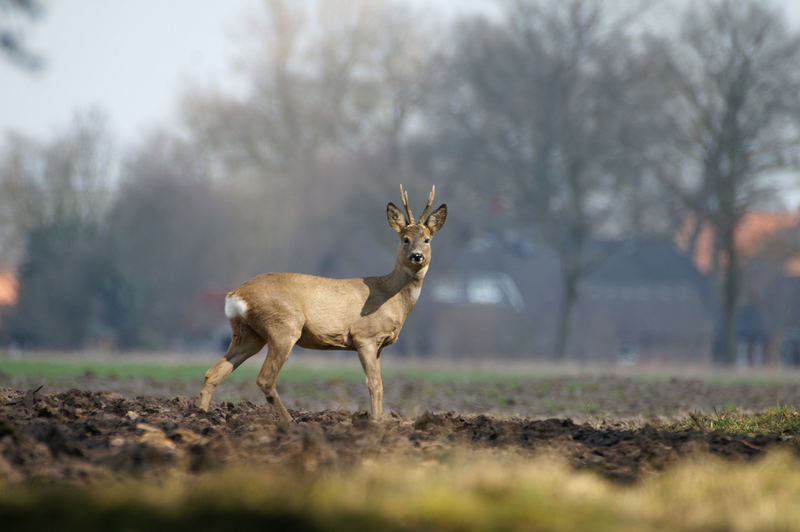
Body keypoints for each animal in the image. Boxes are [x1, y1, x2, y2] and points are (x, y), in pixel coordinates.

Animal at [198, 185, 446, 422]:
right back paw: (290, 421)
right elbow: (374, 385)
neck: (390, 296)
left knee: (213, 373)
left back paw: (201, 415)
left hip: (248, 334)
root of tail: (236, 295)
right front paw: (376, 423)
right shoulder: (365, 336)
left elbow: (380, 385)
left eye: (427, 239)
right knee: (265, 379)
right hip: (283, 327)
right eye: (405, 239)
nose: (417, 256)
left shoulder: (379, 346)